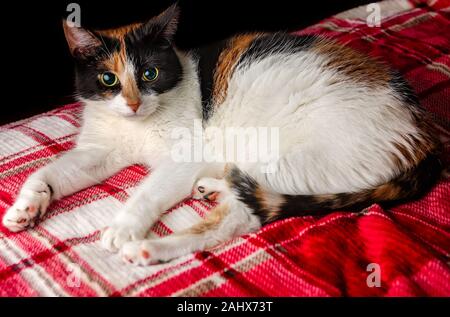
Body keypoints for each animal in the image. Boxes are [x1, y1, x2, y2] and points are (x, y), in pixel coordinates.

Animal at [1, 4, 442, 264]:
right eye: (108, 79)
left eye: (150, 74)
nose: (133, 104)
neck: (136, 124)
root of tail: (423, 131)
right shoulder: (99, 151)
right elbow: (49, 173)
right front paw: (27, 207)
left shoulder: (186, 155)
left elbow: (147, 191)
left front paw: (123, 227)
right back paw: (212, 186)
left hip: (290, 158)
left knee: (236, 220)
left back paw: (149, 249)